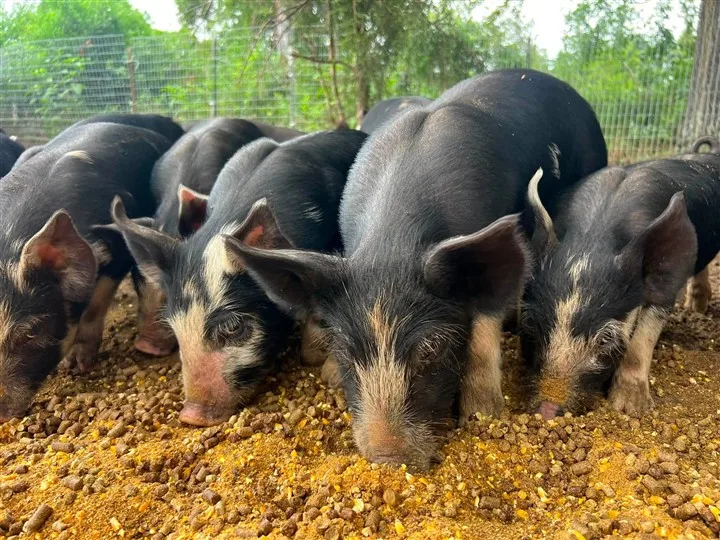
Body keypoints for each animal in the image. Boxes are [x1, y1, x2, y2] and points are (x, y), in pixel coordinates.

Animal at [220, 69, 608, 469]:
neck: (391, 245)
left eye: (431, 347)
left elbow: (484, 327)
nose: (388, 459)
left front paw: (483, 414)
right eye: (344, 348)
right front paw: (329, 376)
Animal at [521, 138, 720, 419]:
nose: (547, 410)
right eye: (530, 323)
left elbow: (642, 340)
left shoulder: (664, 289)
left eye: (606, 339)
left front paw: (629, 408)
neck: (593, 239)